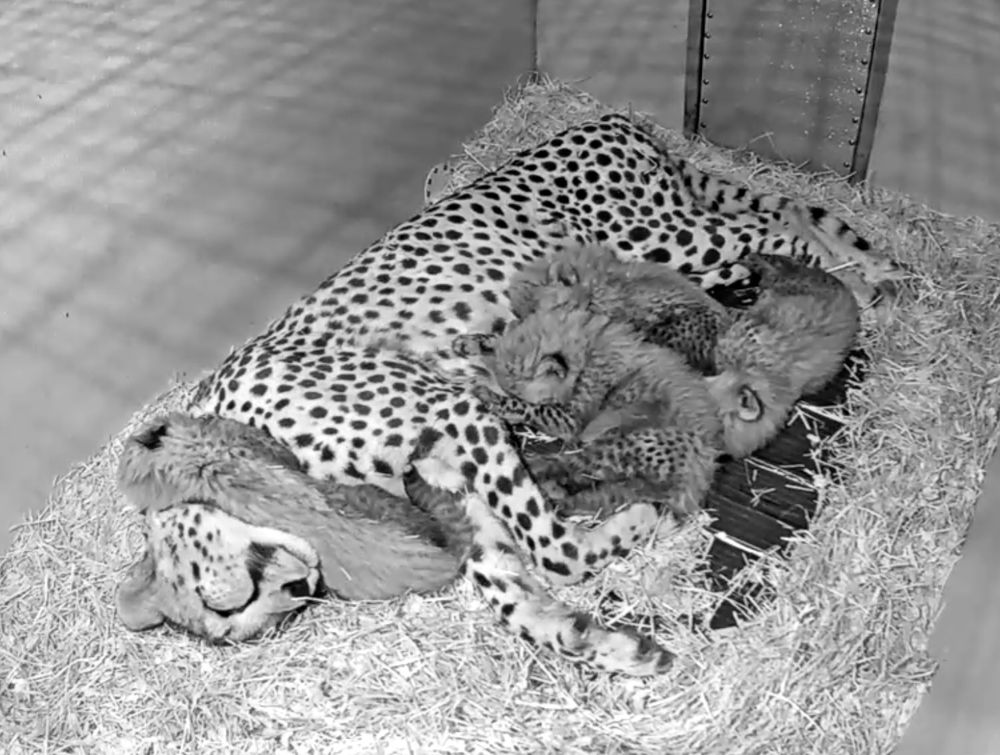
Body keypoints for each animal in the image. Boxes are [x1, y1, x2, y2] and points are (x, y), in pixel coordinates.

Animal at [187, 112, 903, 675]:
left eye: (231, 596)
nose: (296, 588)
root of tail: (606, 120)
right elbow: (522, 581)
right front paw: (600, 641)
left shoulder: (452, 422)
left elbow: (546, 551)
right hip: (674, 241)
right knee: (774, 210)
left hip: (661, 236)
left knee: (781, 232)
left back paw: (871, 282)